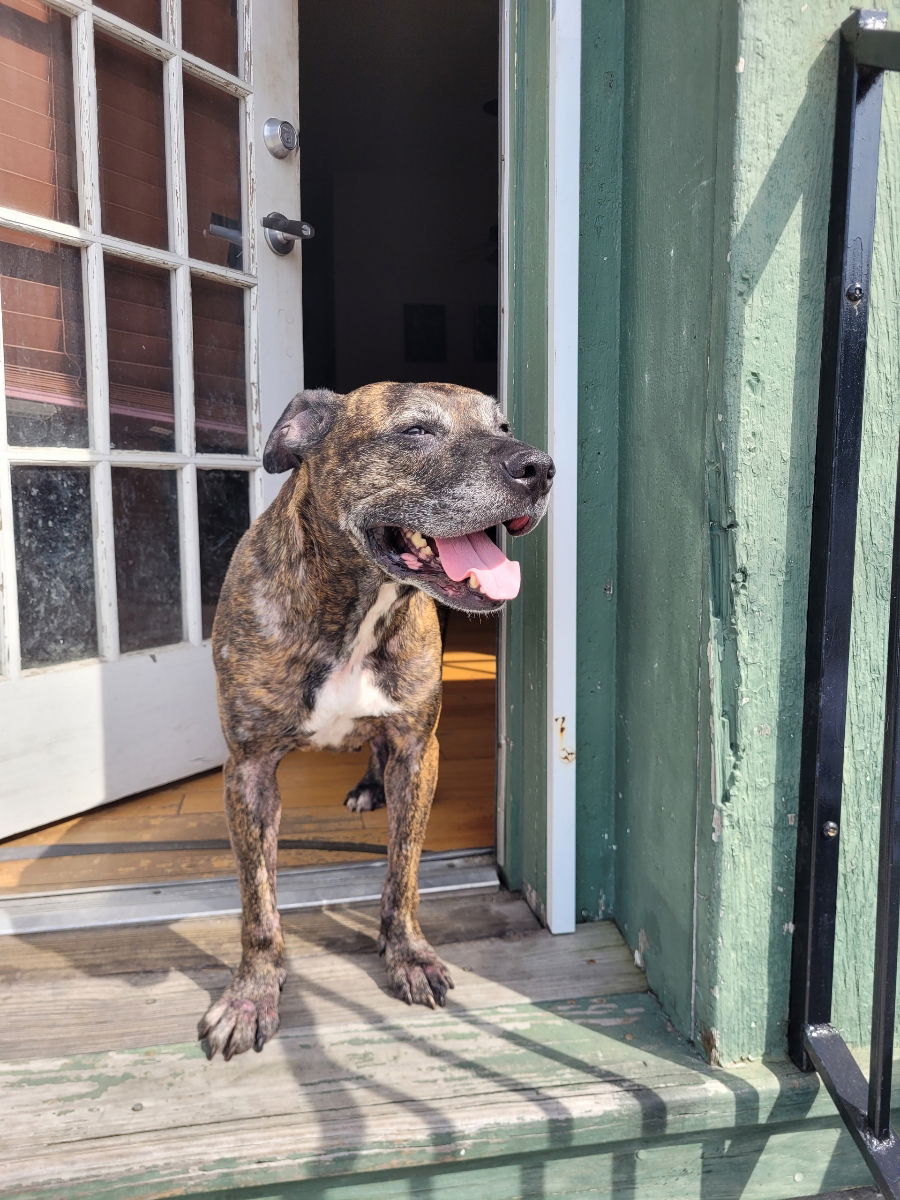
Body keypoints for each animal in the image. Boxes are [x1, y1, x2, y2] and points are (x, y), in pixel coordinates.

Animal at [200, 381, 554, 1060]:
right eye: (416, 431)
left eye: (504, 425)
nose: (541, 467)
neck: (357, 604)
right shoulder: (248, 771)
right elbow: (258, 900)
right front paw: (252, 992)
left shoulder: (419, 751)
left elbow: (404, 869)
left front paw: (407, 954)